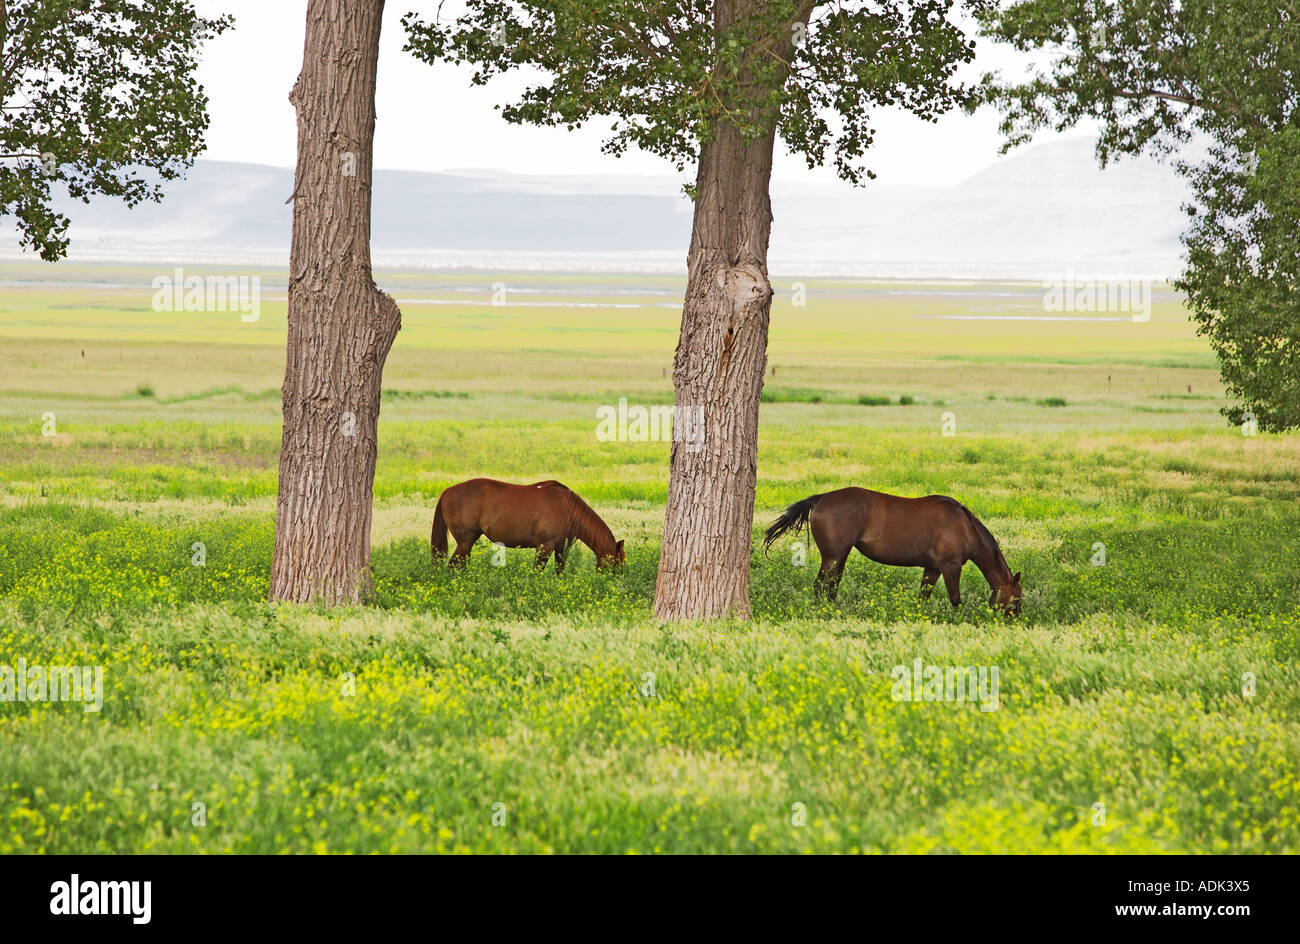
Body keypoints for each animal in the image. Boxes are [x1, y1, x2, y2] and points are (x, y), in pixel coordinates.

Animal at [431, 478, 625, 572]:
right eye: (616, 564)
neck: (566, 508)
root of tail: (447, 491)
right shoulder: (545, 546)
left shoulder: (560, 547)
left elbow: (559, 570)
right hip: (465, 542)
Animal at [763, 487, 1022, 615]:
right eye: (1017, 599)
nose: (1016, 618)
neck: (964, 526)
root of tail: (821, 498)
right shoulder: (951, 567)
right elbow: (955, 600)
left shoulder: (932, 569)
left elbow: (922, 598)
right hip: (833, 557)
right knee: (820, 585)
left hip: (838, 557)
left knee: (832, 585)